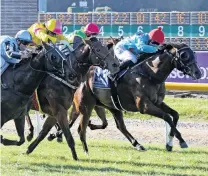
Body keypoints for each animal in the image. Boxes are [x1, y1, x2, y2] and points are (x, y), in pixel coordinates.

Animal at [70, 43, 202, 154]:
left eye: (193, 53)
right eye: (184, 55)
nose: (198, 73)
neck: (150, 74)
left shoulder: (158, 102)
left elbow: (175, 114)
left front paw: (169, 143)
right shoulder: (145, 106)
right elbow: (167, 117)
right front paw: (181, 141)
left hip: (111, 106)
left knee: (120, 126)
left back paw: (137, 144)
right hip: (86, 106)